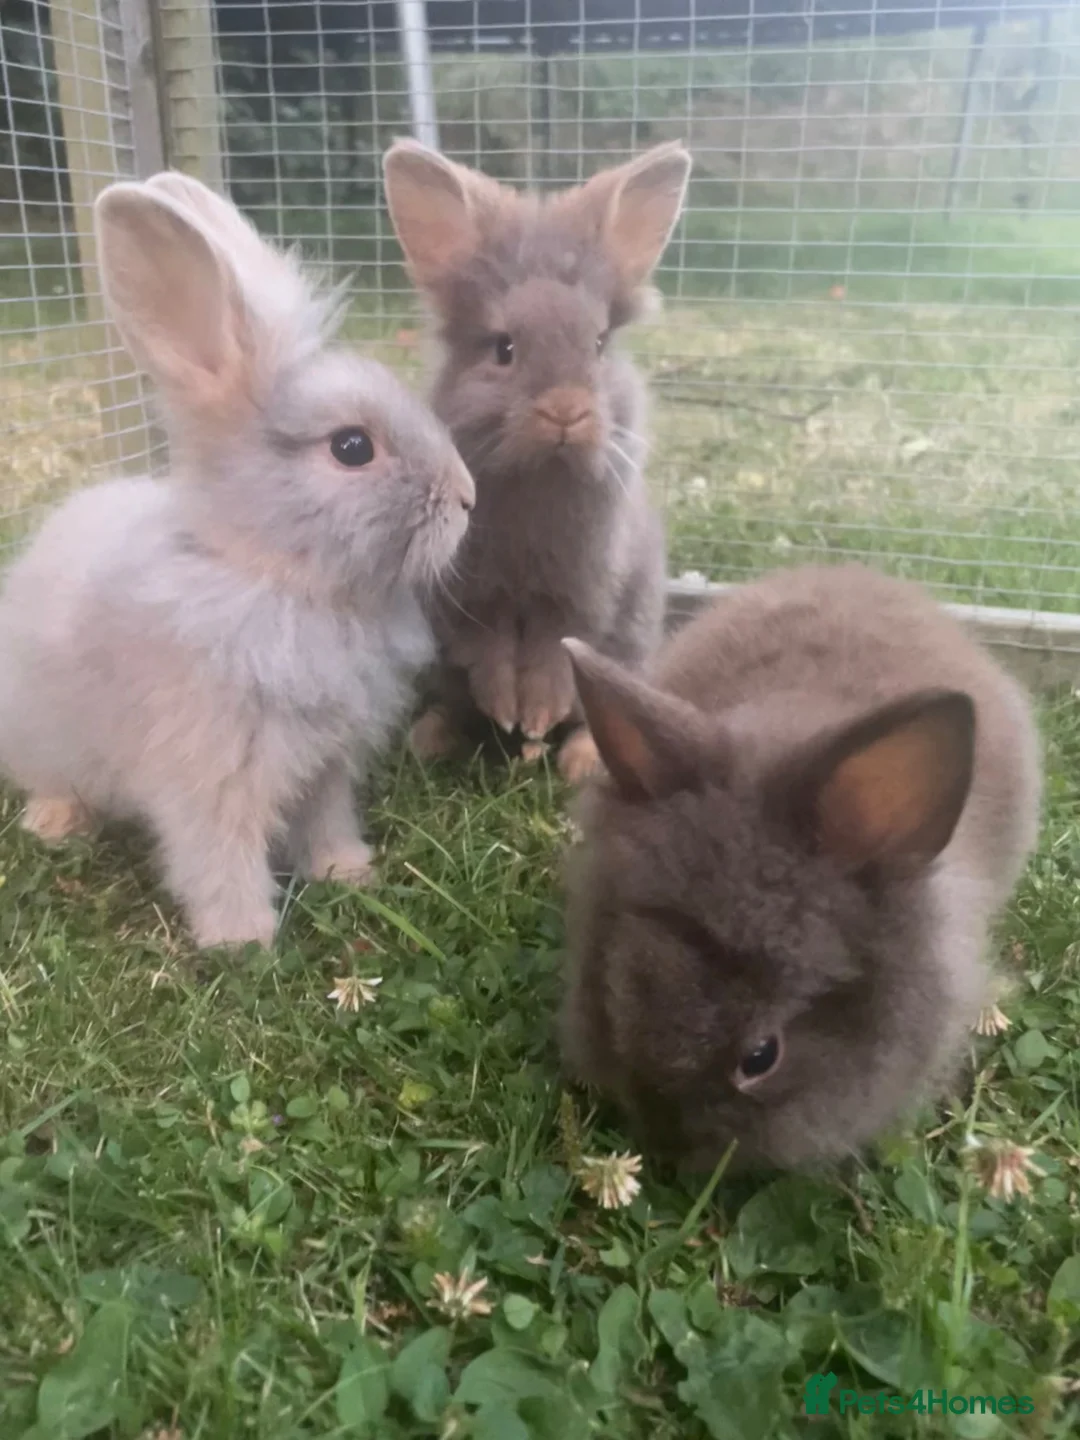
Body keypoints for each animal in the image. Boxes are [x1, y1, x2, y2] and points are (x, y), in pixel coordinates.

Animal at [0, 171, 474, 950]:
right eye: (351, 448)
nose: (467, 497)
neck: (272, 577)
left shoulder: (326, 768)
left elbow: (324, 822)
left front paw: (348, 872)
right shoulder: (211, 776)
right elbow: (218, 855)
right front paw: (242, 941)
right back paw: (55, 824)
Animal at [381, 138, 691, 783]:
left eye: (598, 344)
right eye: (504, 348)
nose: (566, 411)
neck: (539, 478)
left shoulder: (581, 596)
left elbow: (556, 657)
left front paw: (535, 725)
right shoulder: (472, 602)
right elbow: (493, 655)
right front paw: (509, 715)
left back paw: (577, 760)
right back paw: (432, 738)